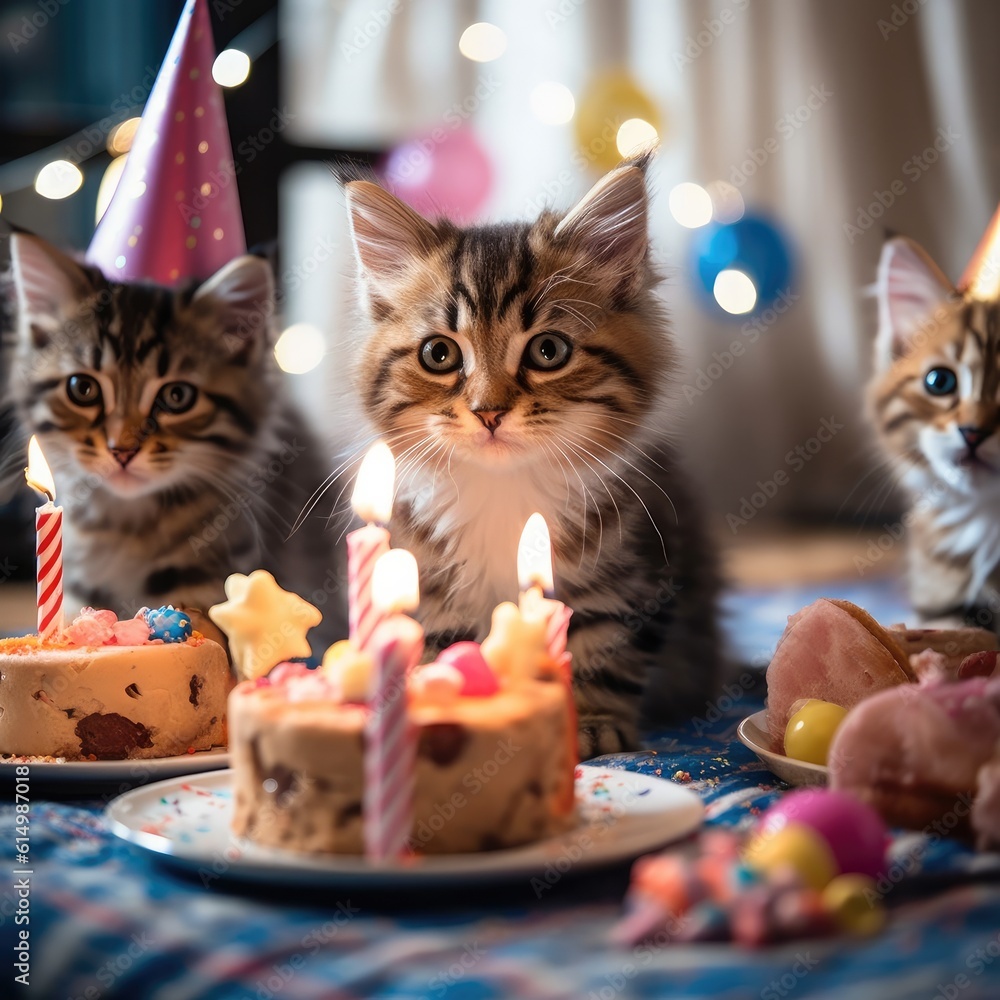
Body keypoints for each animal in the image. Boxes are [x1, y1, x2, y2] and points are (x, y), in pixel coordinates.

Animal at [344, 156, 720, 752]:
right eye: (439, 354)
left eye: (548, 350)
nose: (489, 411)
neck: (504, 491)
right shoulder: (424, 580)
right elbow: (437, 644)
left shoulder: (631, 572)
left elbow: (601, 648)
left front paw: (590, 723)